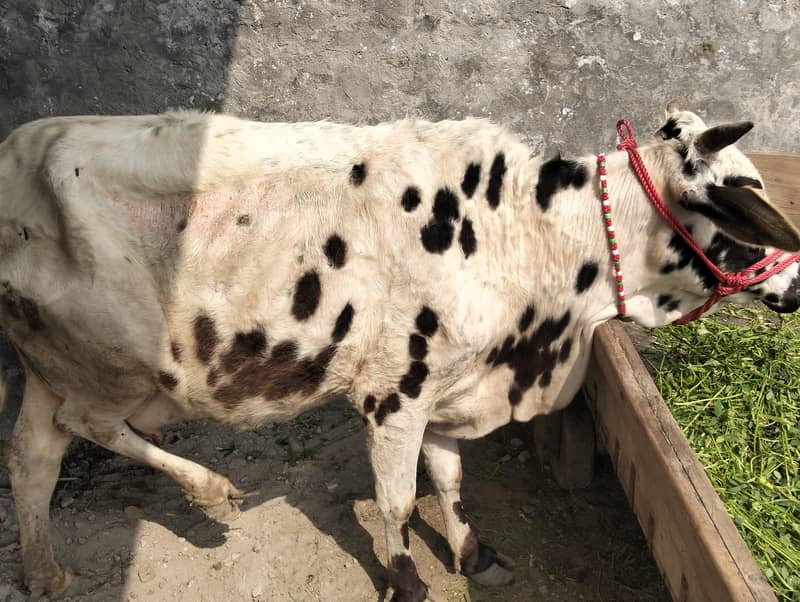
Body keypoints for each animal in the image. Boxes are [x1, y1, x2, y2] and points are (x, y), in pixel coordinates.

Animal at [0, 99, 798, 601]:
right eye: (749, 198)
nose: (795, 283)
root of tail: (19, 149)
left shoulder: (450, 387)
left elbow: (448, 479)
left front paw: (473, 553)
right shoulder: (395, 395)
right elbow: (399, 496)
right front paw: (407, 579)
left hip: (53, 363)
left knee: (33, 458)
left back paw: (44, 572)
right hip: (113, 363)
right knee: (87, 426)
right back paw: (211, 489)